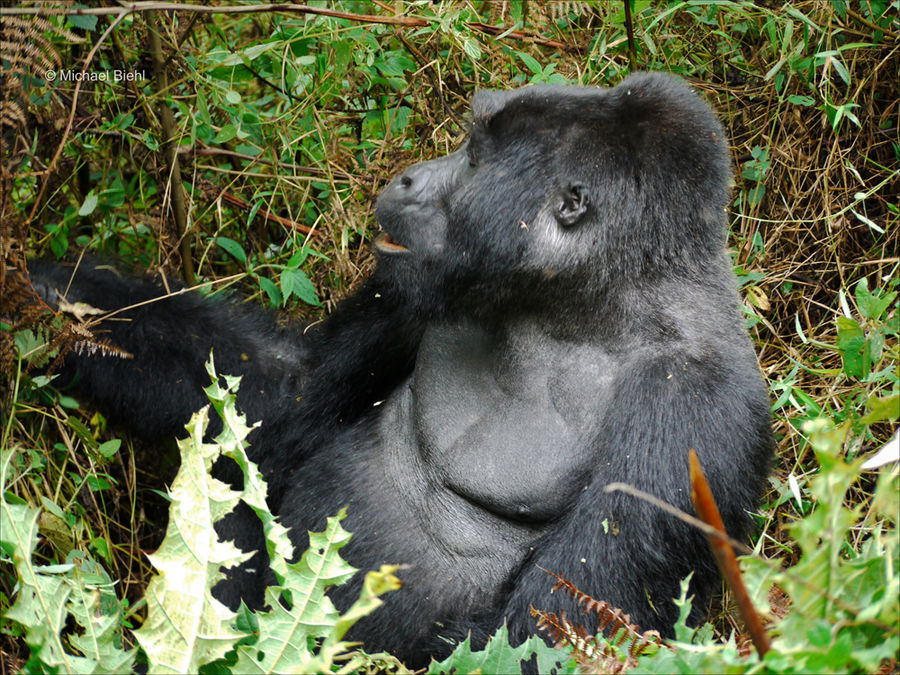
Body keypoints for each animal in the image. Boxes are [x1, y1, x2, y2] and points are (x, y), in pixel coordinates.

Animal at [28, 72, 772, 664]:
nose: (411, 175)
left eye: (473, 154)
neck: (587, 300)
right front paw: (48, 294)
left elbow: (548, 635)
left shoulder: (692, 410)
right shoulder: (418, 280)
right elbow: (285, 387)